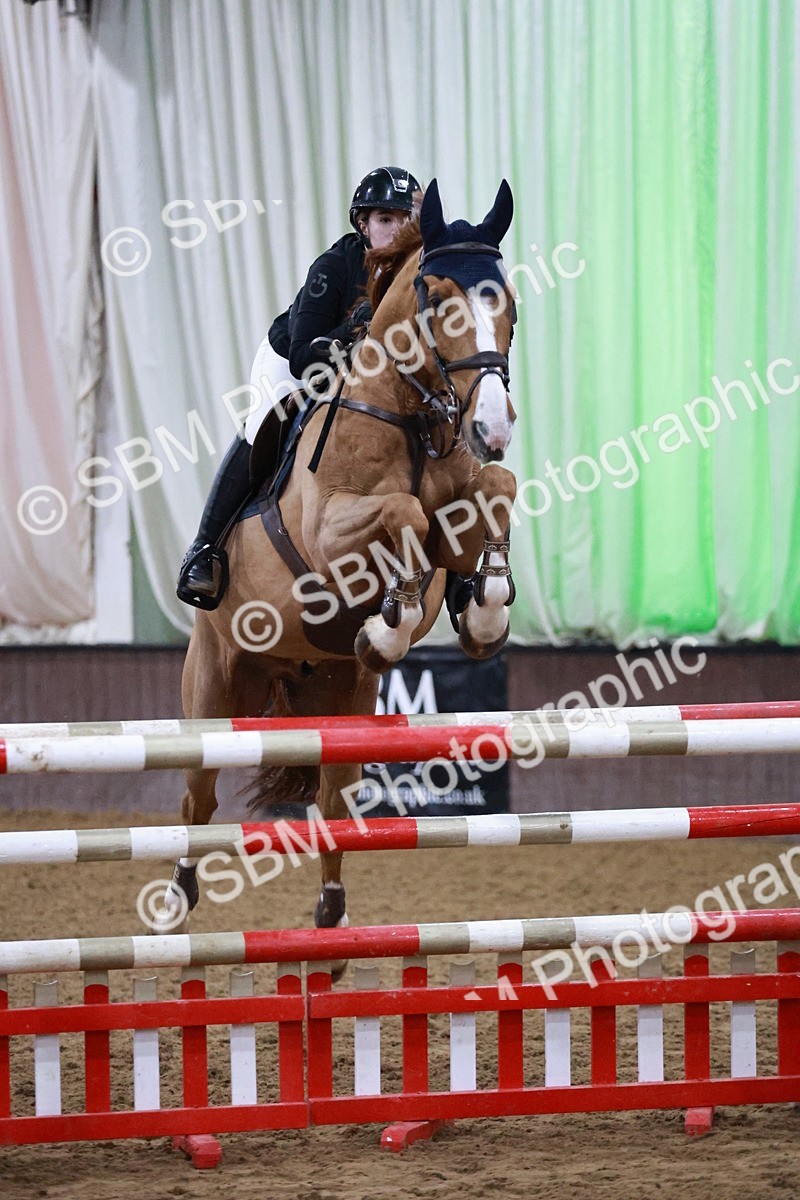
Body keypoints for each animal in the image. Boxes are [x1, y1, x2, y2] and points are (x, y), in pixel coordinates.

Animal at [163, 179, 519, 952]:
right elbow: (404, 515)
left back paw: (332, 920)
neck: (408, 415)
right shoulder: (332, 537)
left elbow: (493, 492)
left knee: (333, 795)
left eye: (506, 300)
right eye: (435, 296)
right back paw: (176, 899)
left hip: (342, 701)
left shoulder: (456, 521)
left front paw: (483, 610)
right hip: (215, 685)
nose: (493, 425)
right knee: (197, 796)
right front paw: (390, 622)